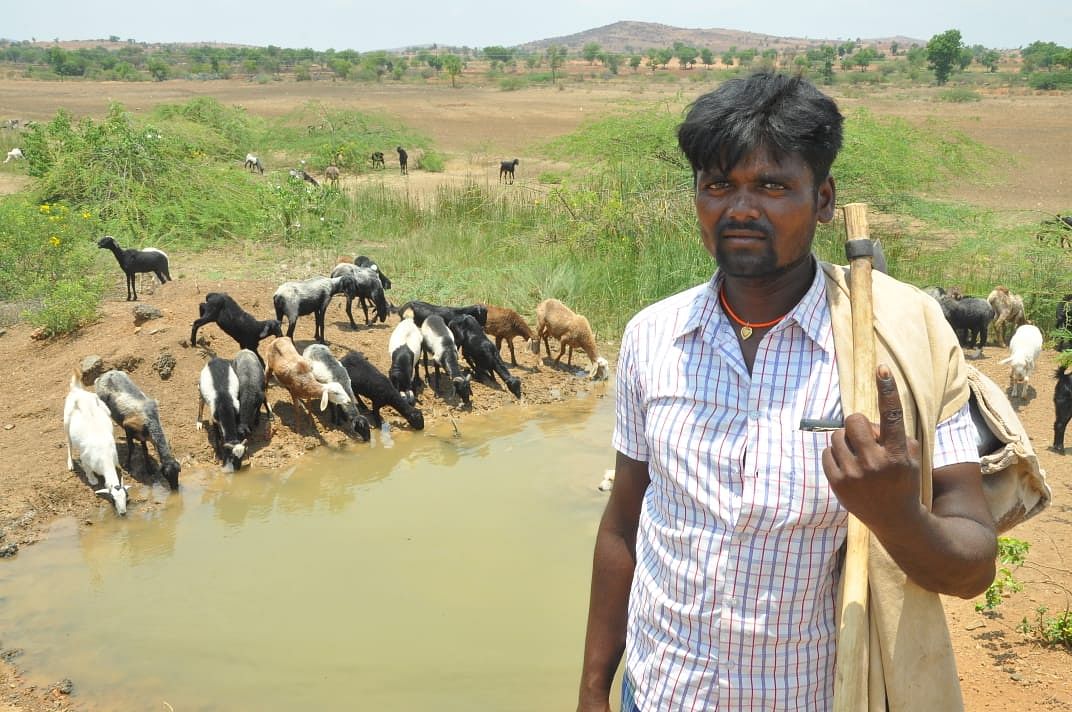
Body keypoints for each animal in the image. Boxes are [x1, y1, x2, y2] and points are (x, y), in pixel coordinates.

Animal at [64, 368, 128, 514]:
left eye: (125, 497)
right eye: (113, 499)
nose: (123, 513)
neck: (104, 457)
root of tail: (77, 390)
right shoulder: (86, 459)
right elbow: (88, 472)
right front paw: (92, 480)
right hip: (65, 423)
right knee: (68, 443)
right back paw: (70, 464)